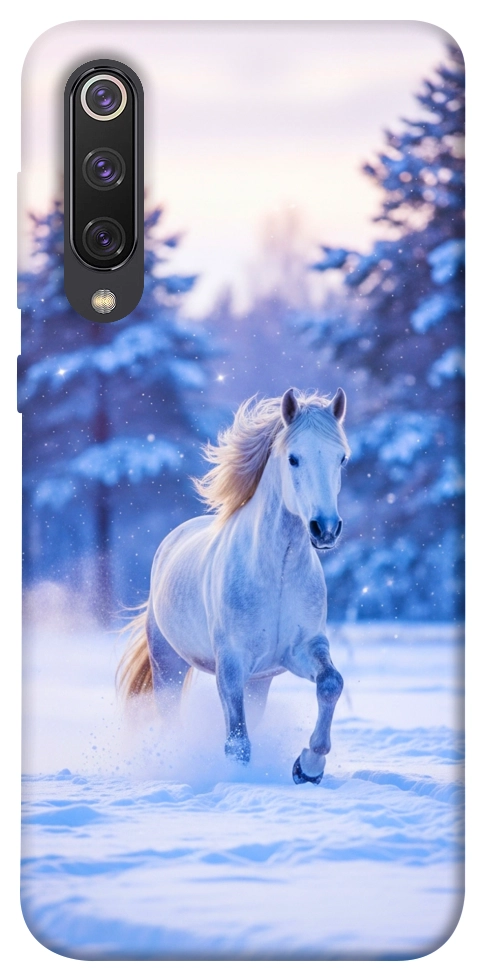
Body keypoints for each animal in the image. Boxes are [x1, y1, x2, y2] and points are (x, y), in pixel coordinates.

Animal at [118, 387, 350, 784]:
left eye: (341, 459)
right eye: (294, 458)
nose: (325, 529)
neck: (277, 574)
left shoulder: (301, 649)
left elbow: (331, 683)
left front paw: (308, 767)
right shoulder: (231, 663)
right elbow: (237, 742)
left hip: (259, 682)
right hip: (168, 665)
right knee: (170, 717)